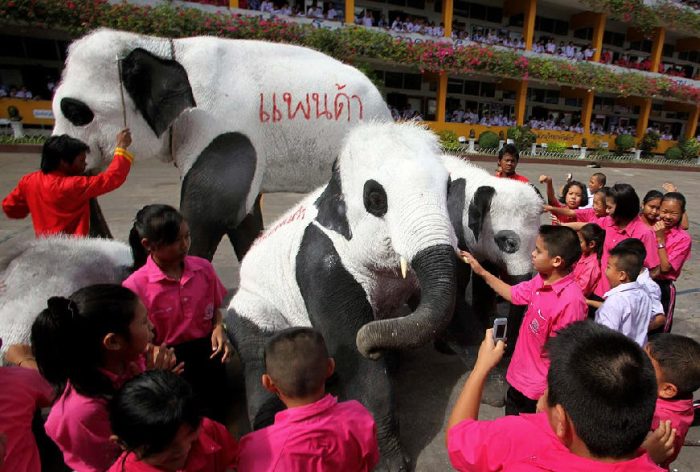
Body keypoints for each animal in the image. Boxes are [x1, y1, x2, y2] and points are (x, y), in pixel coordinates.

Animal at [227, 122, 456, 472]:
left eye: (448, 189)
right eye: (375, 198)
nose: (373, 344)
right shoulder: (321, 262)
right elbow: (355, 358)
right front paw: (390, 463)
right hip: (255, 304)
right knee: (256, 358)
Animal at [442, 155, 540, 350]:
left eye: (535, 245)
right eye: (508, 243)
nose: (508, 346)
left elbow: (487, 276)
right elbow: (457, 280)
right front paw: (463, 339)